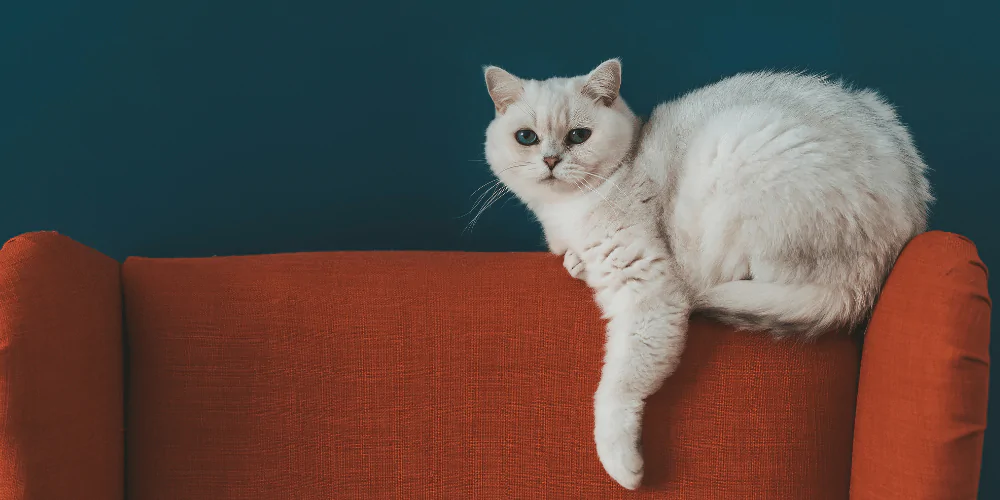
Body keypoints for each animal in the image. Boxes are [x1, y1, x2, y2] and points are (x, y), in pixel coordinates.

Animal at [480, 58, 932, 488]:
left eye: (578, 136)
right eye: (526, 137)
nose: (551, 161)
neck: (566, 213)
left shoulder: (649, 291)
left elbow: (618, 386)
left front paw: (622, 465)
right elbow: (570, 257)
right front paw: (573, 261)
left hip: (740, 158)